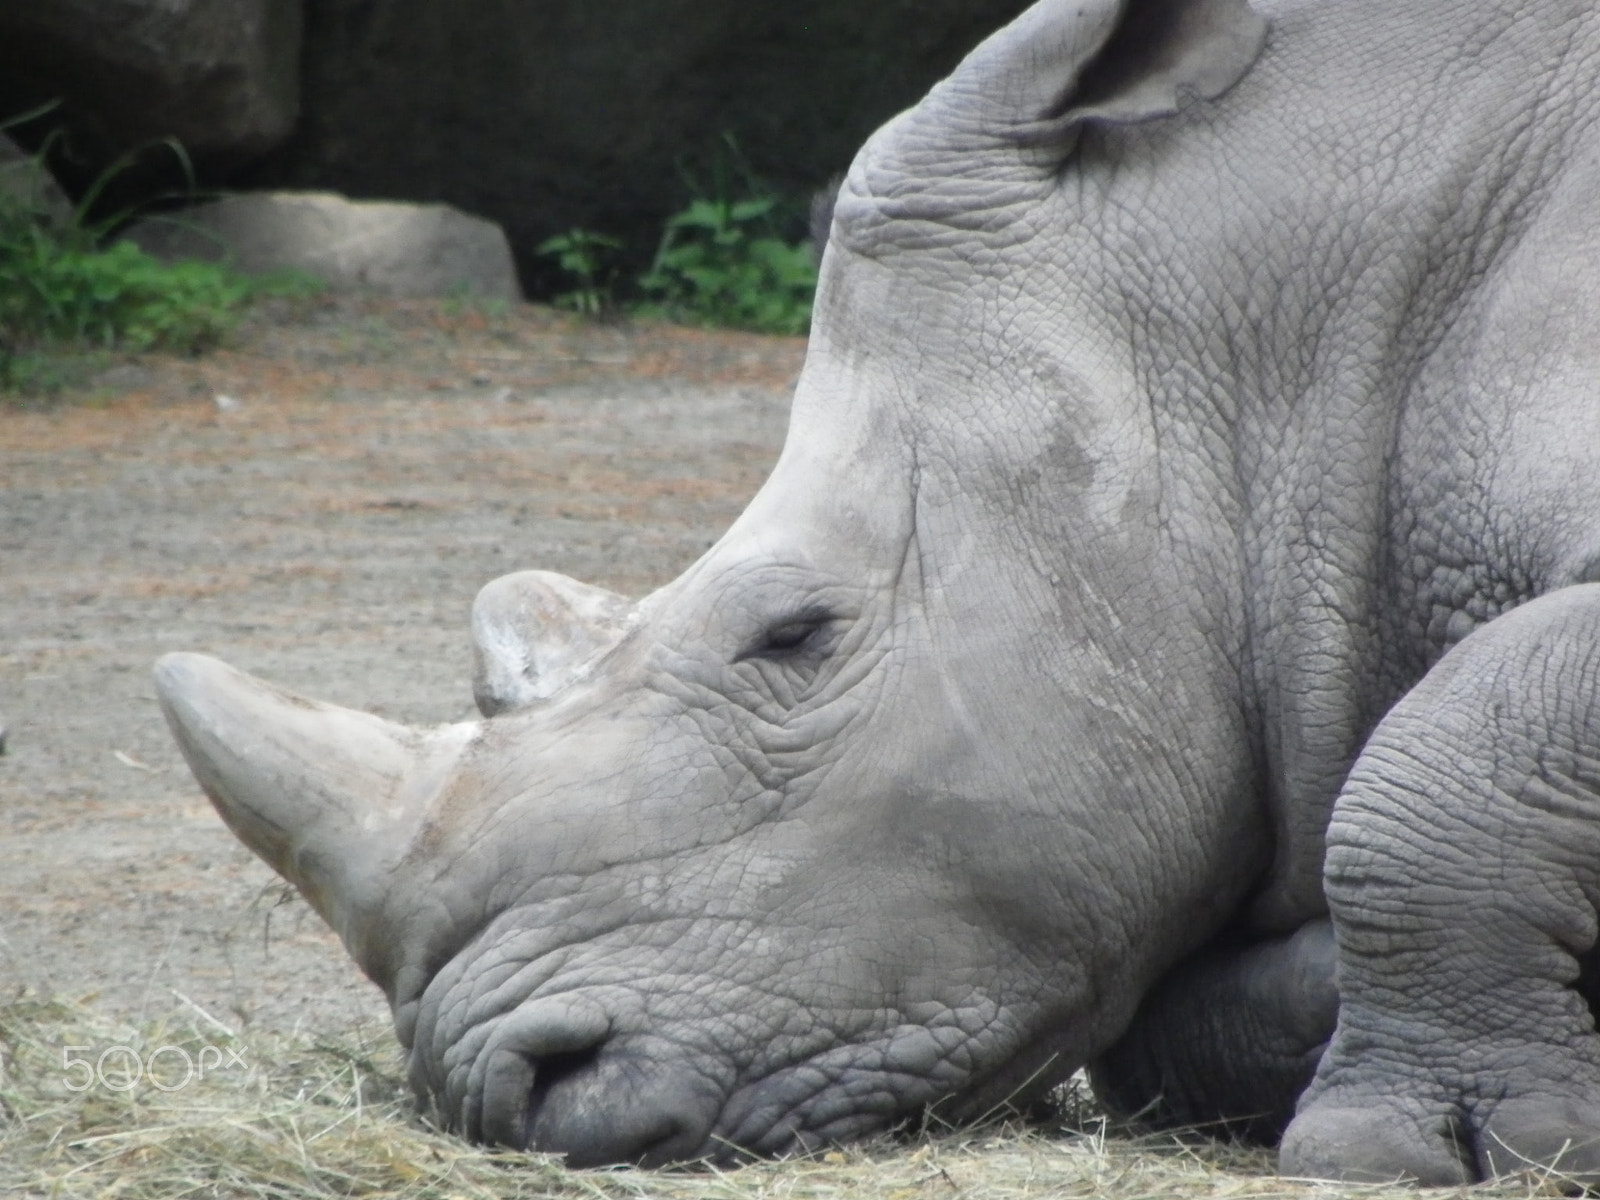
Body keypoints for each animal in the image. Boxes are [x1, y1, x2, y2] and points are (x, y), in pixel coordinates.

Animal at [155, 0, 1600, 1183]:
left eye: (792, 637)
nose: (504, 1091)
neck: (1292, 341)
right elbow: (1159, 1024)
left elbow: (1447, 754)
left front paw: (1417, 1147)